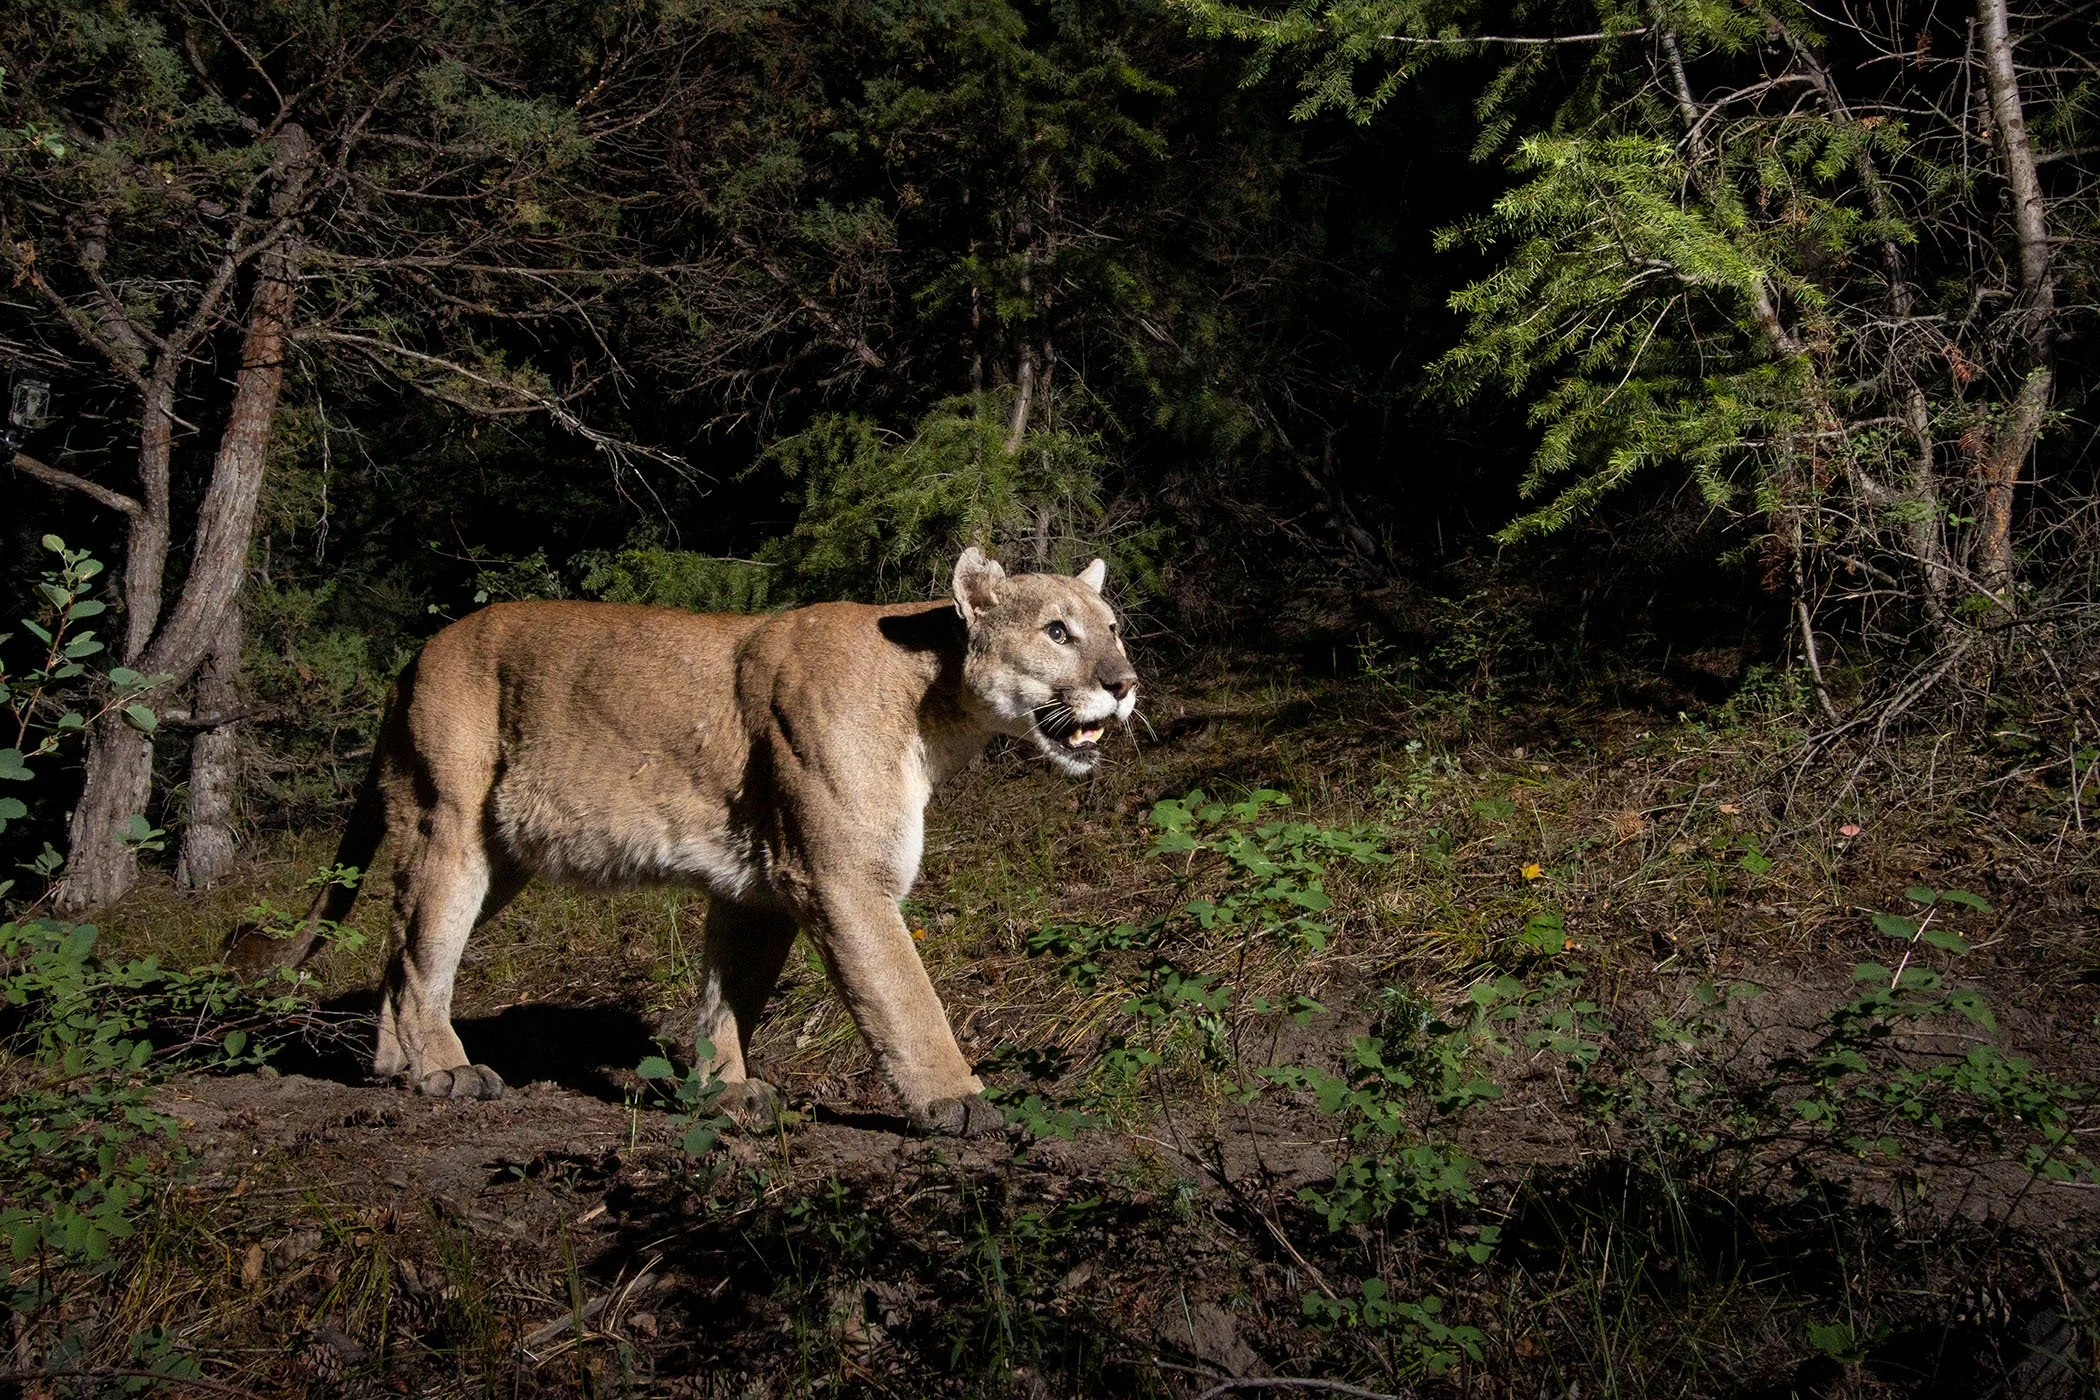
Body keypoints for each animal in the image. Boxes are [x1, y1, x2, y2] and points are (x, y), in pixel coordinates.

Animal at [228, 549, 1137, 1136]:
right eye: (1057, 632)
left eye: (1114, 628)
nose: (1125, 684)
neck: (936, 703)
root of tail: (414, 657)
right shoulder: (841, 877)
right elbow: (906, 997)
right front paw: (960, 1100)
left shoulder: (759, 886)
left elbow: (728, 999)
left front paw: (723, 1092)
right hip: (447, 823)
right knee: (422, 957)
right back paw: (444, 1071)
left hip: (499, 857)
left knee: (400, 949)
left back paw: (397, 1067)